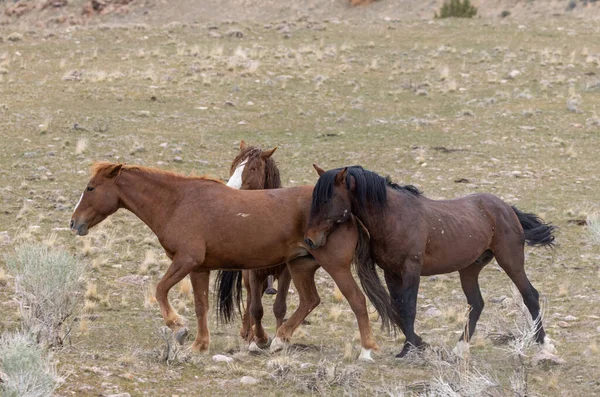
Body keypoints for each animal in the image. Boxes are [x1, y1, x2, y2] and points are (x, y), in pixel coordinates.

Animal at [70, 161, 378, 358]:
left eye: (91, 188)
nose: (74, 223)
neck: (177, 203)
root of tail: (347, 212)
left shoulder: (186, 261)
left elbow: (160, 290)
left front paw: (177, 327)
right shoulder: (199, 269)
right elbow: (200, 306)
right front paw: (199, 344)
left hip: (334, 266)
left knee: (357, 301)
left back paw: (366, 349)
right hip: (300, 265)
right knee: (309, 301)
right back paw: (279, 340)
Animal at [308, 166, 556, 358]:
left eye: (327, 199)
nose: (310, 239)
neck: (394, 217)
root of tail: (506, 208)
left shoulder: (411, 269)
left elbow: (408, 307)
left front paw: (408, 349)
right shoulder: (391, 272)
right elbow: (398, 307)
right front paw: (416, 345)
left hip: (510, 261)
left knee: (530, 295)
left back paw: (543, 343)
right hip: (469, 269)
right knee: (476, 304)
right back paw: (459, 349)